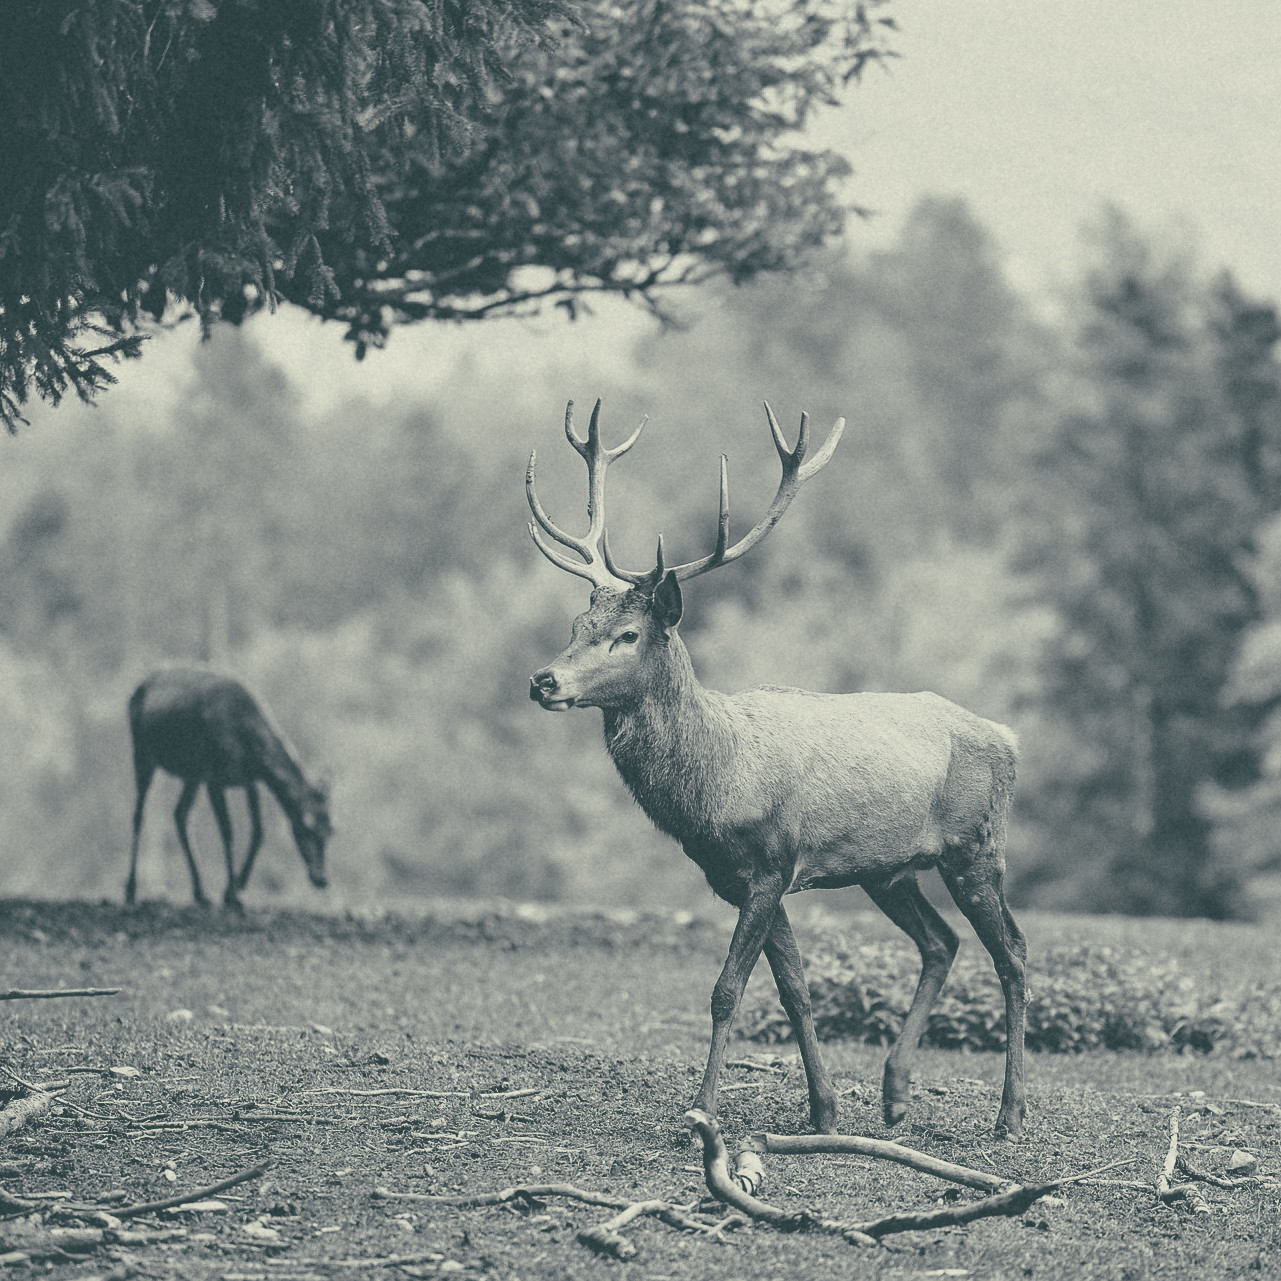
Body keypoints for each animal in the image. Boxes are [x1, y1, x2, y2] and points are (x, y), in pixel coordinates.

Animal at [124, 671, 330, 912]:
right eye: (308, 829)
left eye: (330, 831)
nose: (321, 879)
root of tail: (136, 689)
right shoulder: (215, 777)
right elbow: (227, 831)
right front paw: (232, 893)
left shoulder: (249, 780)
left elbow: (258, 831)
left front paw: (238, 885)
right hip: (142, 752)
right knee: (139, 815)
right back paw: (130, 890)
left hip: (192, 773)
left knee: (180, 813)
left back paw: (200, 893)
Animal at [525, 402, 1024, 1142]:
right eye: (575, 625)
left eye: (628, 636)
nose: (543, 680)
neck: (715, 784)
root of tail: (1009, 739)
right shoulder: (745, 879)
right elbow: (794, 990)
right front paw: (823, 1110)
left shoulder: (769, 863)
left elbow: (726, 991)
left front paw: (701, 1109)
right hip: (887, 869)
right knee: (941, 942)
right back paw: (894, 1094)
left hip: (976, 846)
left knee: (1010, 952)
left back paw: (1009, 1113)